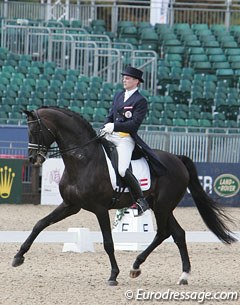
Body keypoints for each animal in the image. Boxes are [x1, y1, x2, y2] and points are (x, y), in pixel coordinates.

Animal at [12, 107, 235, 284]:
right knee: (177, 233)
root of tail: (177, 158)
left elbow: (108, 243)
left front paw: (113, 275)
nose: (33, 159)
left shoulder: (100, 209)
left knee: (163, 233)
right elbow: (40, 224)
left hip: (163, 205)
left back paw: (138, 266)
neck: (84, 160)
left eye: (35, 131)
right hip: (161, 206)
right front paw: (18, 257)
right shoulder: (70, 205)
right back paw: (181, 275)